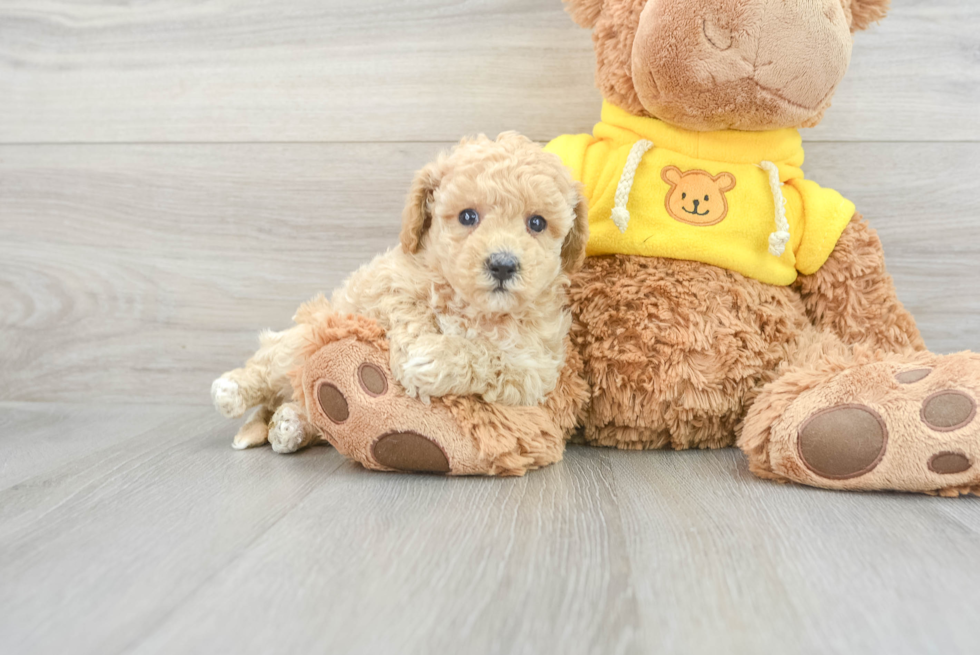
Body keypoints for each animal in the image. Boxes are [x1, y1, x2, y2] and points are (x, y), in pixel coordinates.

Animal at [211, 131, 584, 454]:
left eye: (536, 223)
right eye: (467, 217)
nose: (503, 265)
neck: (472, 306)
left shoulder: (534, 367)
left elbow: (492, 356)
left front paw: (435, 360)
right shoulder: (389, 284)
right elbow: (410, 310)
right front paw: (417, 350)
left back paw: (290, 425)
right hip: (303, 338)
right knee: (271, 363)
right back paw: (233, 390)